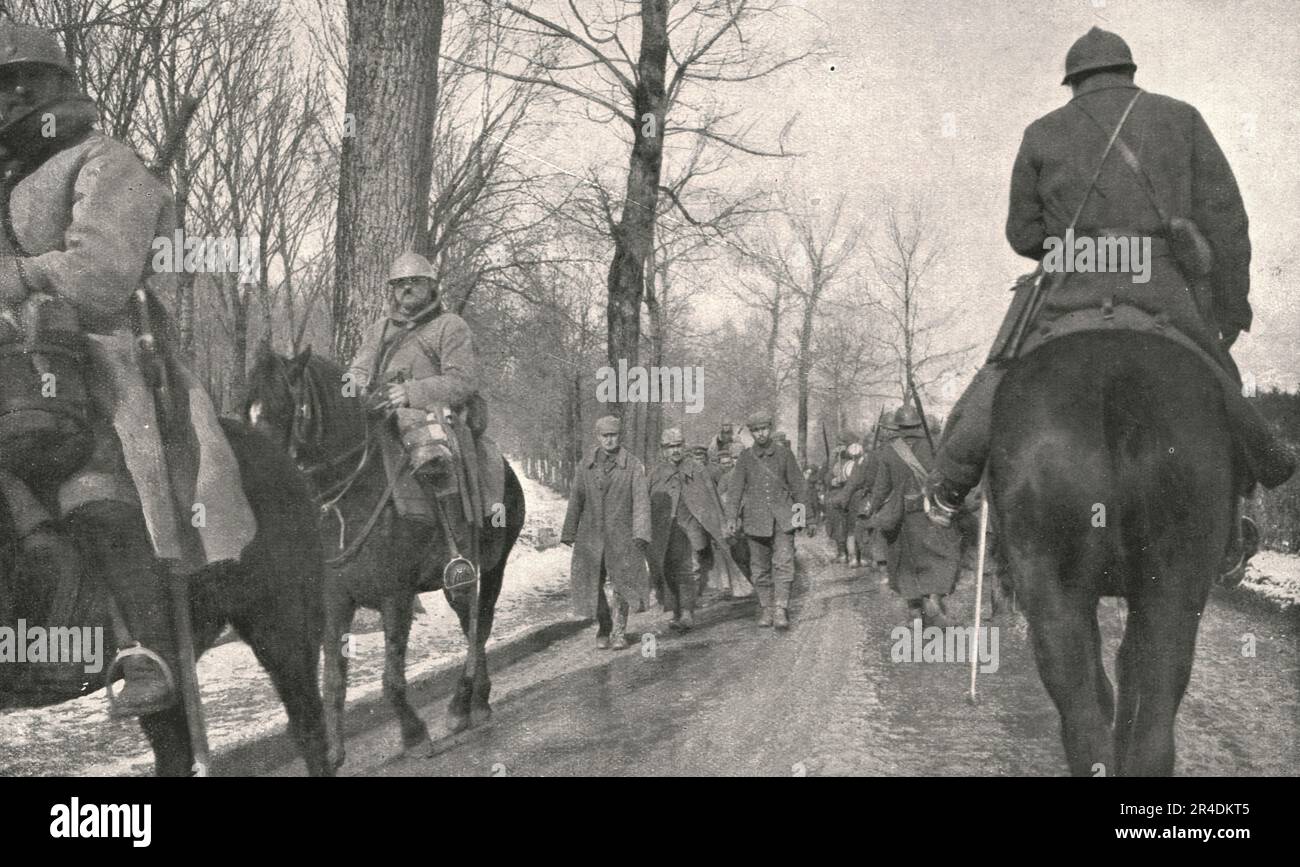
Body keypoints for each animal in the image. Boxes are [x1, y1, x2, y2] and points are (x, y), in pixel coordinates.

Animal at [241, 348, 525, 774]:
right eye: (247, 409)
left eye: (282, 406)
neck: (348, 498)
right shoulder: (336, 603)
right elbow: (333, 681)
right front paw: (333, 753)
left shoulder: (397, 596)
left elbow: (391, 679)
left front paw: (415, 737)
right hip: (457, 584)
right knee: (471, 624)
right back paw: (476, 702)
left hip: (492, 568)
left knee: (480, 629)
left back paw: (462, 705)